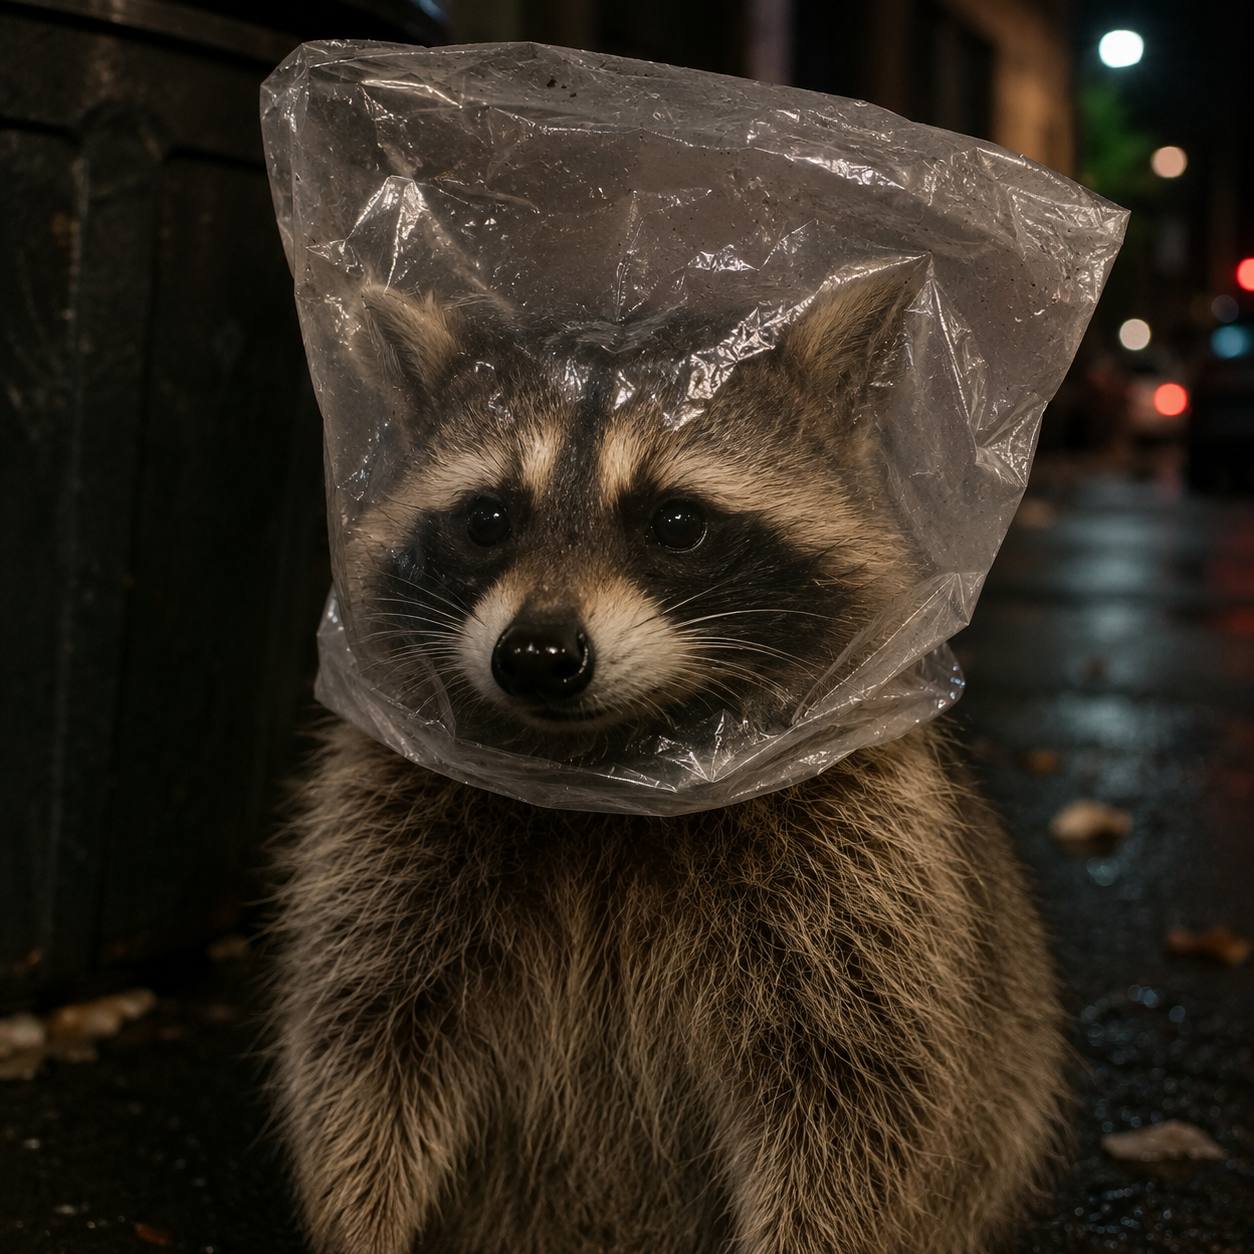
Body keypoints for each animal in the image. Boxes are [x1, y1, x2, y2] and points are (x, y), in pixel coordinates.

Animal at [274, 271, 1064, 1254]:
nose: (537, 655)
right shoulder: (394, 814)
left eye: (676, 522)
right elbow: (365, 1043)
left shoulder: (860, 849)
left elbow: (858, 1087)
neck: (609, 773)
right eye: (487, 519)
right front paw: (359, 1228)